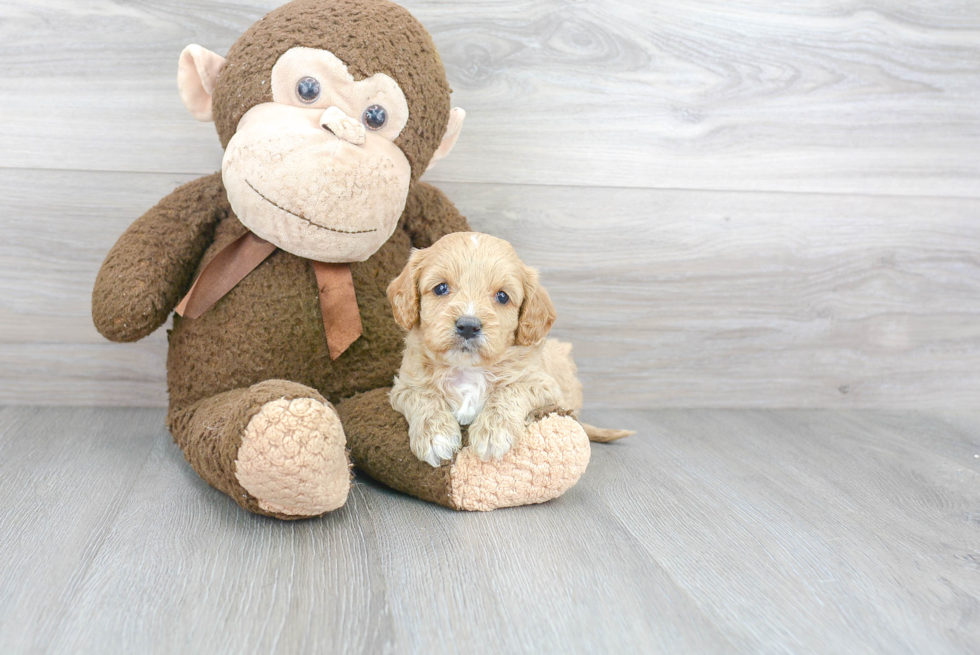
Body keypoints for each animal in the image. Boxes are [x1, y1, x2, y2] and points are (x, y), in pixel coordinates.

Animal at [386, 231, 608, 466]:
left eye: (502, 296)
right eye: (440, 288)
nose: (468, 326)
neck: (467, 368)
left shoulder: (545, 385)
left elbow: (511, 389)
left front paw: (494, 432)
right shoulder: (405, 385)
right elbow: (424, 396)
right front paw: (435, 435)